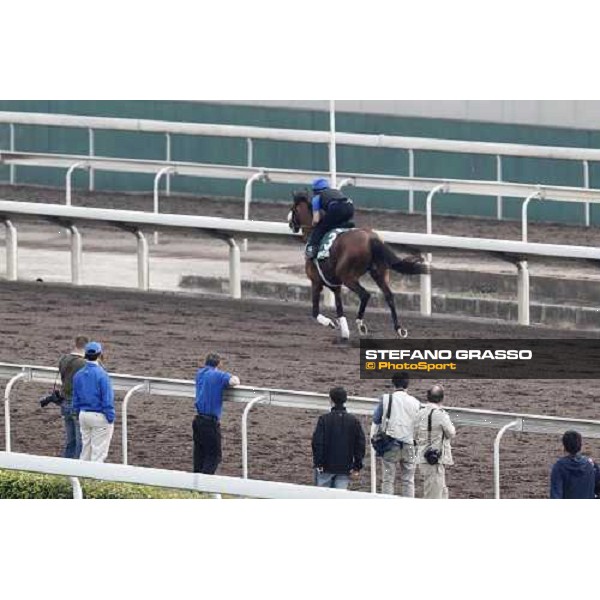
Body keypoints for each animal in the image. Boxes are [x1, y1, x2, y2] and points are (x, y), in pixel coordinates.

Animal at [288, 192, 428, 342]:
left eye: (293, 208)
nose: (290, 223)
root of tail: (371, 238)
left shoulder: (316, 282)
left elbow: (315, 312)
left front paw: (331, 323)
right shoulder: (335, 286)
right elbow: (340, 309)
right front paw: (344, 333)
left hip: (348, 276)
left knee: (365, 294)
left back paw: (360, 324)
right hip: (379, 273)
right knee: (389, 296)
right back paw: (399, 328)